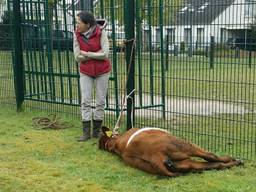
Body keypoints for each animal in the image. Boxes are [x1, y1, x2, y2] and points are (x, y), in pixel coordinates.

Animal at [98, 126, 242, 177]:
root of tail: (154, 156)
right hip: (184, 146)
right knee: (212, 157)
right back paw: (235, 160)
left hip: (184, 162)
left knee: (213, 164)